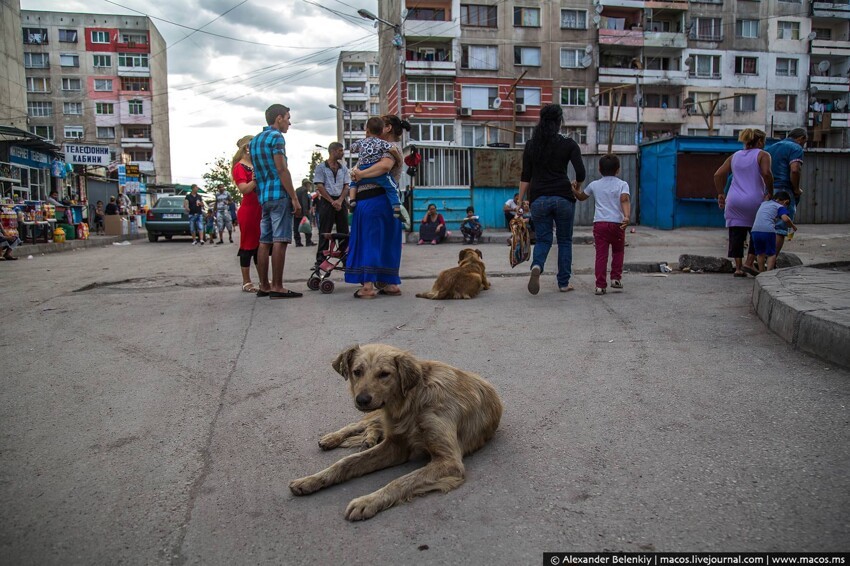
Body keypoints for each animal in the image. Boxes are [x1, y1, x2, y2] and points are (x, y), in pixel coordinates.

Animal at [288, 344, 500, 520]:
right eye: (357, 372)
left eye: (384, 374)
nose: (362, 400)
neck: (413, 401)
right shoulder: (395, 445)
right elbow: (346, 462)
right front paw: (311, 480)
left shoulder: (448, 461)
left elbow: (401, 481)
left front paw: (367, 501)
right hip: (375, 415)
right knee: (358, 424)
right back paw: (332, 438)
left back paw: (367, 439)